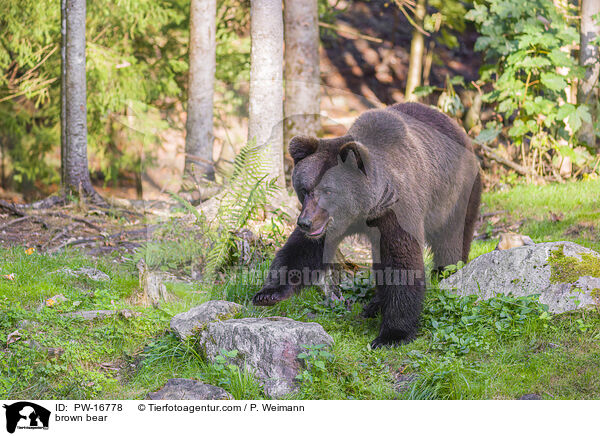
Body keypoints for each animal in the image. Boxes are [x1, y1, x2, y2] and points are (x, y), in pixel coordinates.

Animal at [251, 102, 480, 348]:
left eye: (328, 191)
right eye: (305, 189)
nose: (305, 223)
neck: (364, 210)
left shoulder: (396, 211)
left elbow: (402, 261)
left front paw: (392, 334)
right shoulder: (331, 225)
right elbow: (302, 251)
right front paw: (268, 293)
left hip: (457, 193)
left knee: (451, 240)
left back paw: (446, 272)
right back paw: (374, 304)